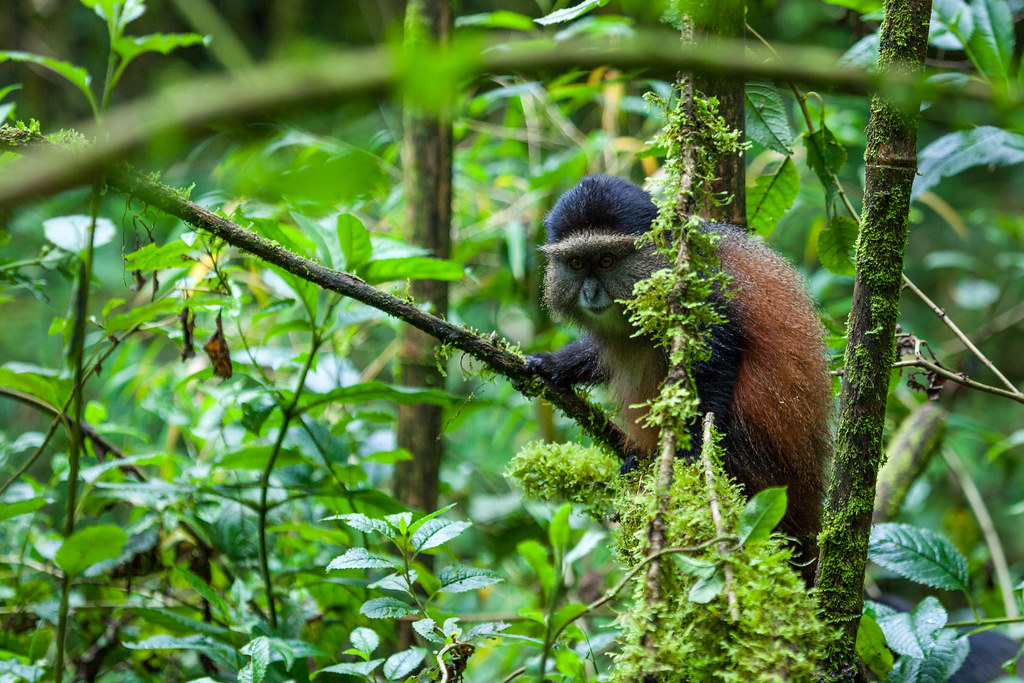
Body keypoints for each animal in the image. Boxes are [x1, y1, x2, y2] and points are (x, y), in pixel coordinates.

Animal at [525, 175, 834, 578]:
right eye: (576, 263)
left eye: (606, 260)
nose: (590, 293)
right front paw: (552, 363)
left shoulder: (697, 291)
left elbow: (719, 356)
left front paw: (688, 459)